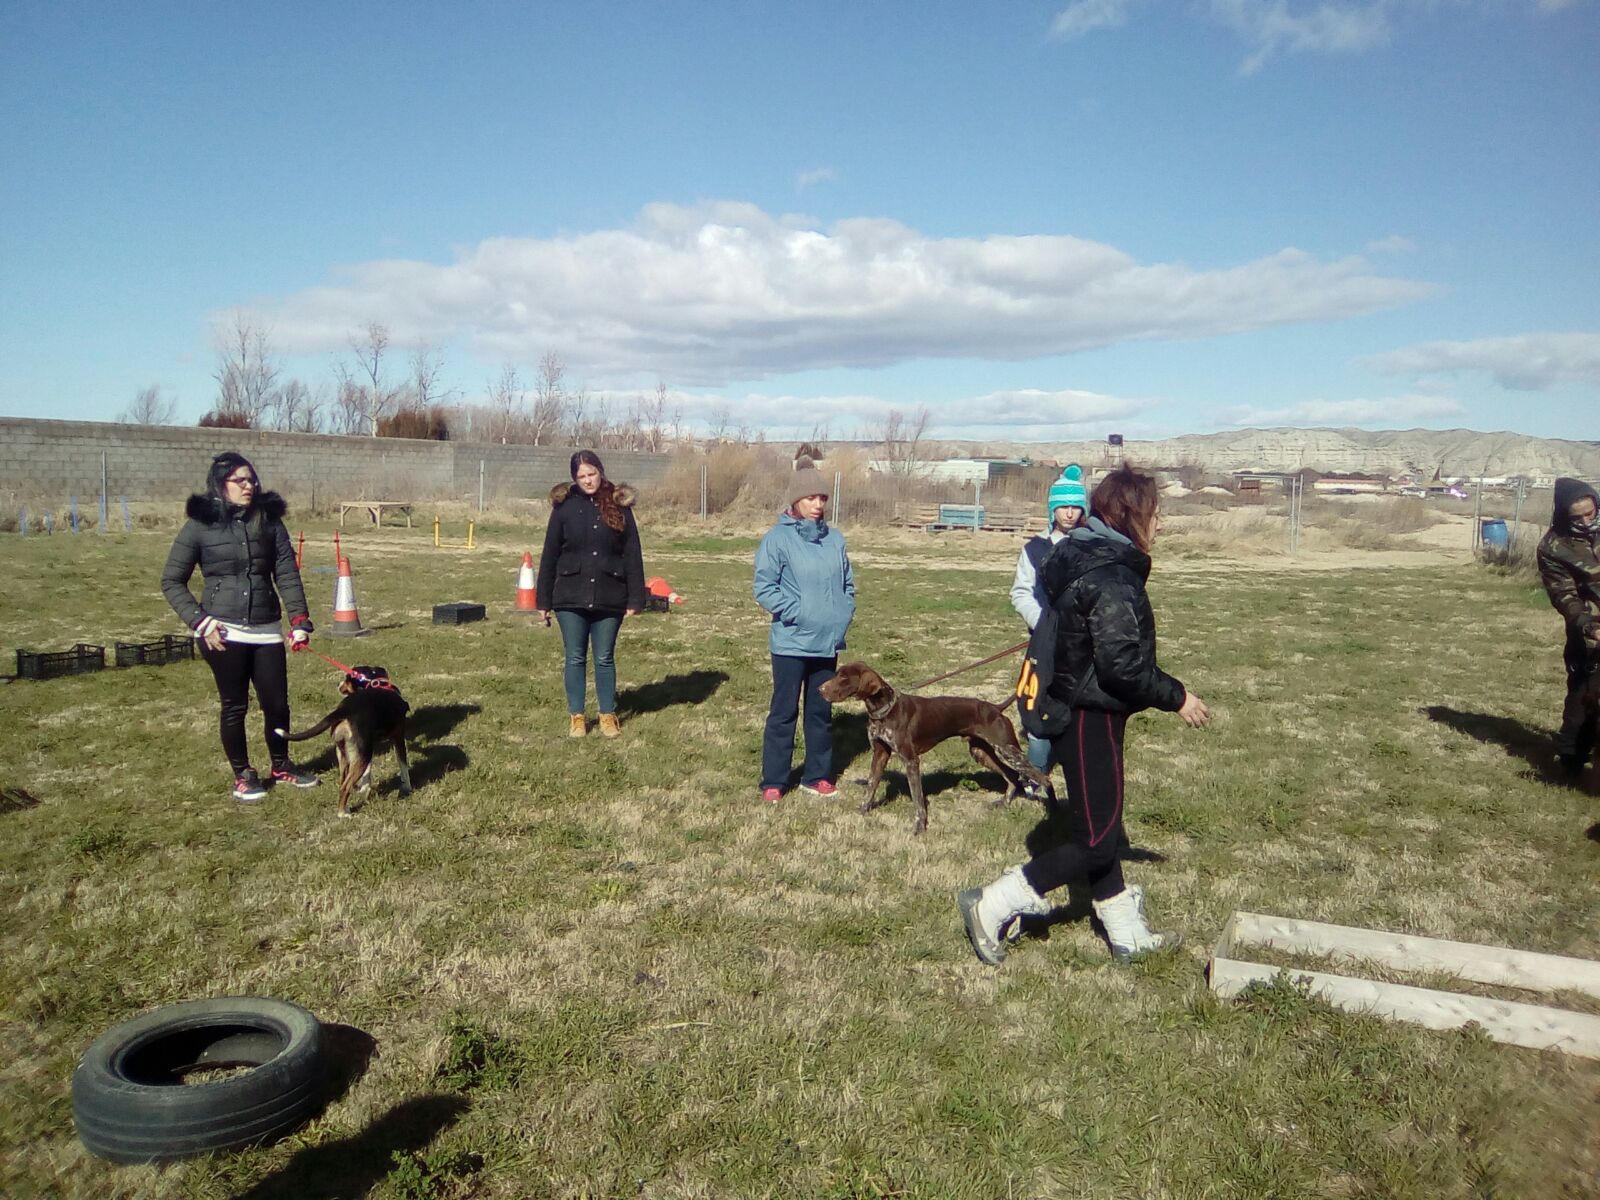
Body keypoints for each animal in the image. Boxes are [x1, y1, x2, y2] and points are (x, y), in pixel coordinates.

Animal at [276, 662, 412, 825]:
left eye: (347, 679)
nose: (338, 684)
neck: (379, 683)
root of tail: (345, 709)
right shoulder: (397, 738)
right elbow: (403, 765)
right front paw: (407, 787)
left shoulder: (367, 747)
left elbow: (367, 774)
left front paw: (365, 788)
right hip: (360, 754)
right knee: (345, 787)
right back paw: (342, 814)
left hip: (346, 754)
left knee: (342, 783)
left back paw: (345, 808)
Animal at [819, 662, 1056, 832]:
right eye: (837, 674)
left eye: (843, 677)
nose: (820, 689)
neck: (884, 710)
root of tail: (996, 708)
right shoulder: (880, 753)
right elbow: (871, 786)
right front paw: (863, 810)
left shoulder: (911, 760)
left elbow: (917, 799)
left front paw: (919, 826)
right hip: (982, 752)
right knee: (1012, 777)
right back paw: (1003, 803)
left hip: (1008, 750)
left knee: (1044, 779)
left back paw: (1054, 813)